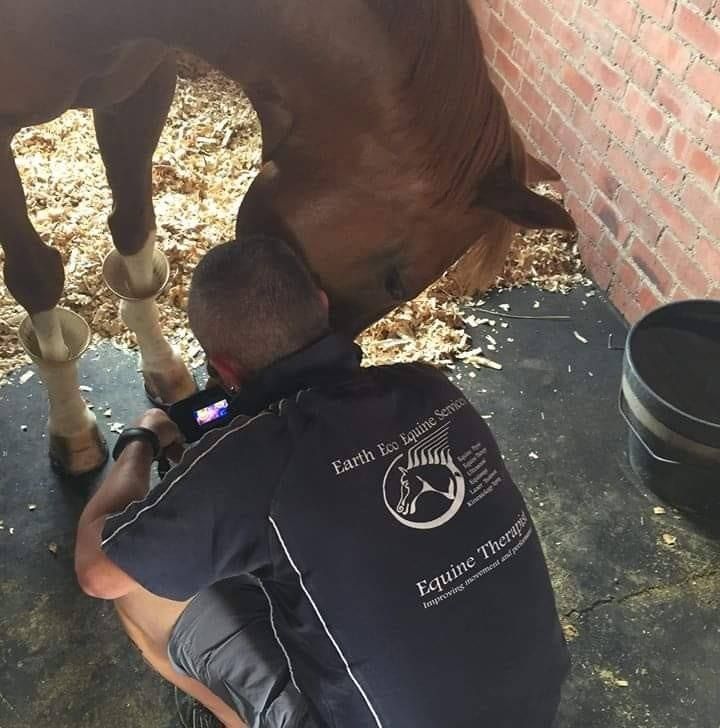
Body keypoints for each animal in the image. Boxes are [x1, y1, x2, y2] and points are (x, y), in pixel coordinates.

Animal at [0, 0, 572, 474]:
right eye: (394, 279)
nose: (331, 374)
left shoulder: (140, 84)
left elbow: (134, 227)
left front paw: (162, 366)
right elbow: (35, 276)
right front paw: (73, 428)